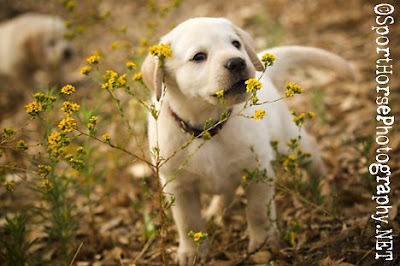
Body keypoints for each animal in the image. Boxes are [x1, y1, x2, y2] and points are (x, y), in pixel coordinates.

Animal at [141, 17, 354, 264]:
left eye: (235, 44)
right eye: (199, 56)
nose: (237, 62)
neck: (208, 128)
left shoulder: (258, 171)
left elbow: (258, 211)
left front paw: (263, 242)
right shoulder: (179, 187)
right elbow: (188, 223)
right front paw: (191, 253)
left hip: (290, 142)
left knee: (313, 155)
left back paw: (324, 187)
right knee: (226, 191)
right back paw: (216, 210)